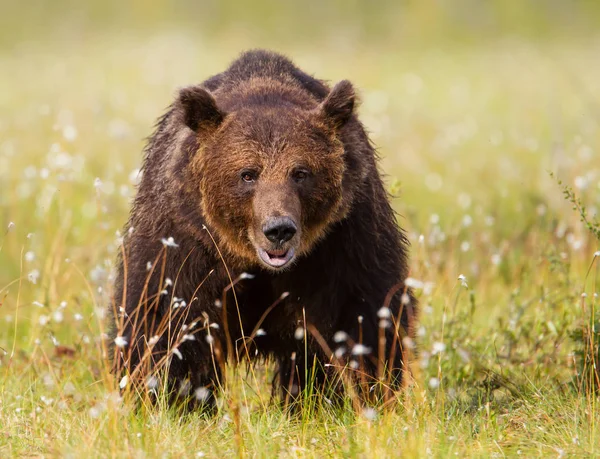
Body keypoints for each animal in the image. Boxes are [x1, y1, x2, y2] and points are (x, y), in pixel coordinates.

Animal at [110, 49, 414, 410]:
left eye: (301, 172)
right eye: (247, 174)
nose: (278, 229)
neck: (251, 262)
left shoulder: (344, 241)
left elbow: (360, 318)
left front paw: (351, 395)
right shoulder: (184, 239)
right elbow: (165, 316)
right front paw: (171, 397)